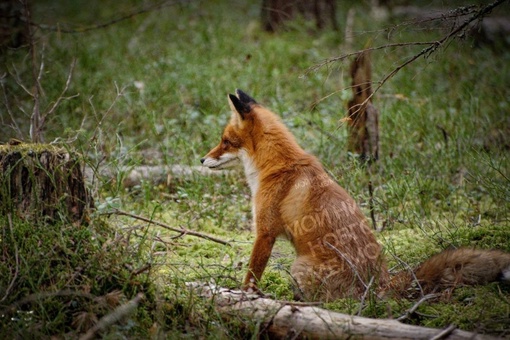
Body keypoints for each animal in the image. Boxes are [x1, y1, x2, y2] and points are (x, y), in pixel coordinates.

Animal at [201, 89, 508, 302]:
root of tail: (379, 285)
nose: (202, 160)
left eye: (225, 141)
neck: (277, 165)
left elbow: (251, 275)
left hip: (299, 266)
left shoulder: (265, 232)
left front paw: (244, 297)